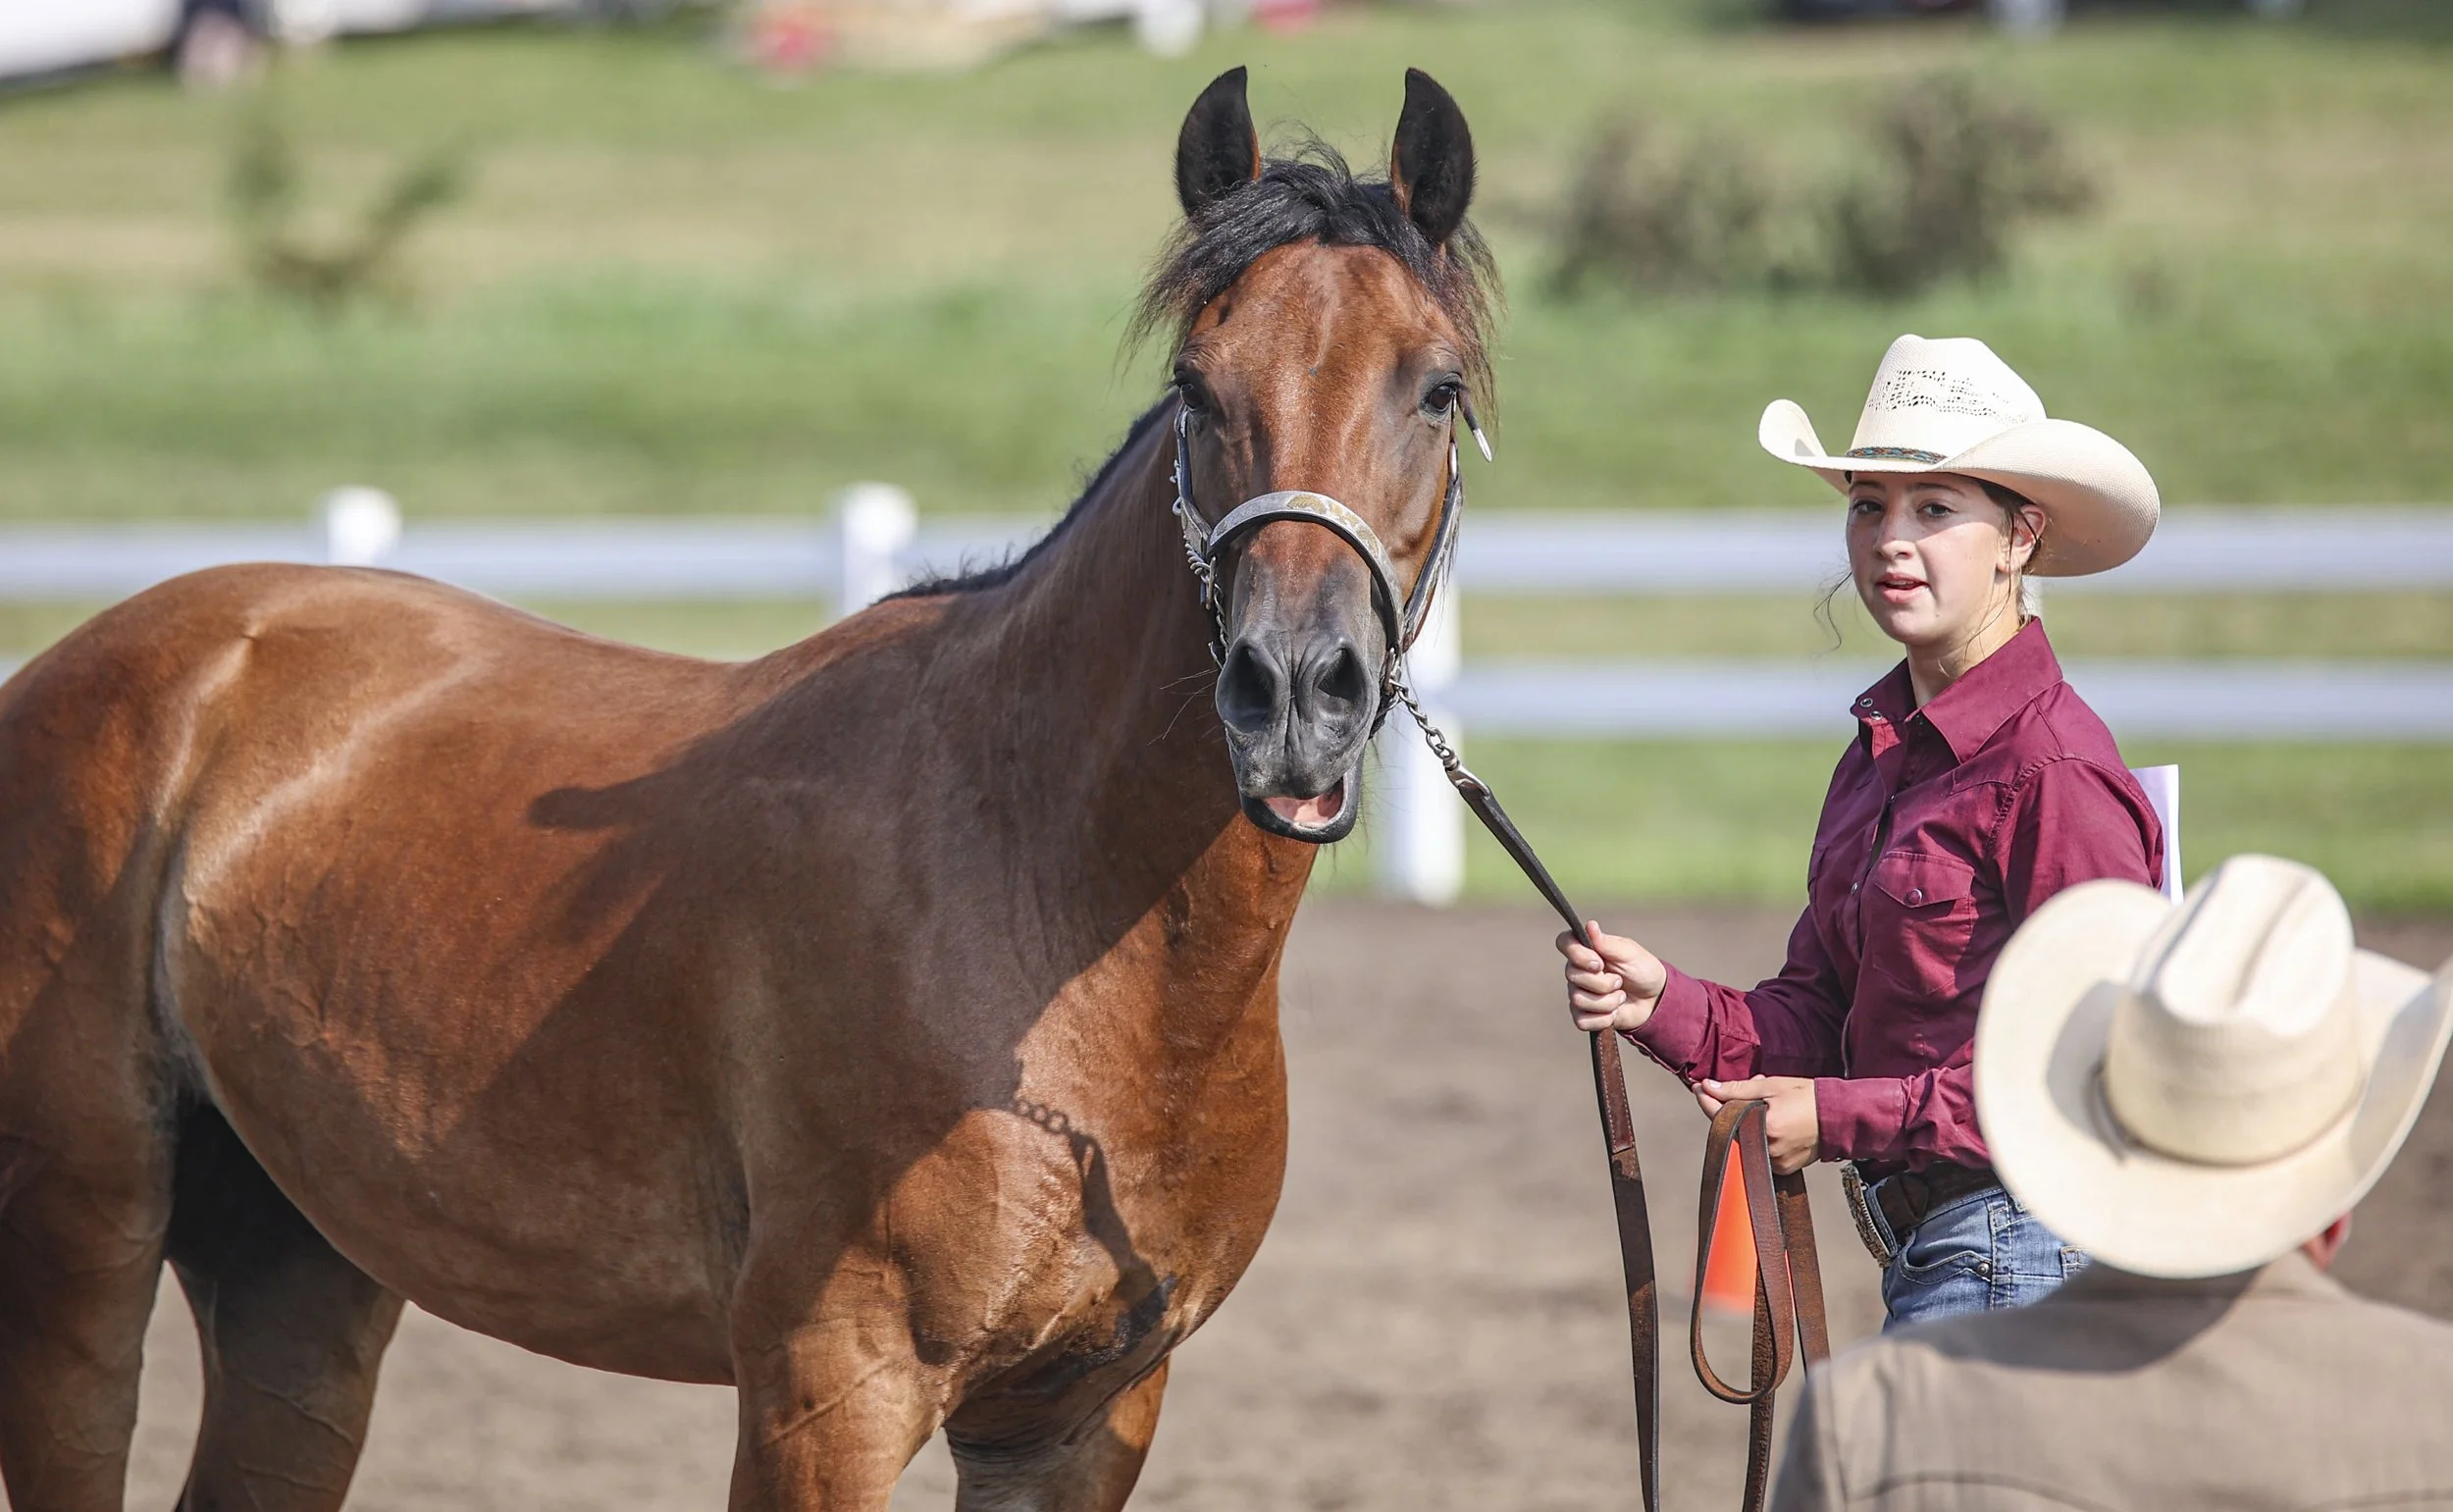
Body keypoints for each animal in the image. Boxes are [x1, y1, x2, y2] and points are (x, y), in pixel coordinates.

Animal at [0, 66, 1498, 1512]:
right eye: (1196, 382)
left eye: (1435, 388)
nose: (1292, 692)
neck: (1036, 902)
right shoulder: (829, 1391)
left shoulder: (1076, 1420)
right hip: (82, 1249)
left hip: (297, 1262)